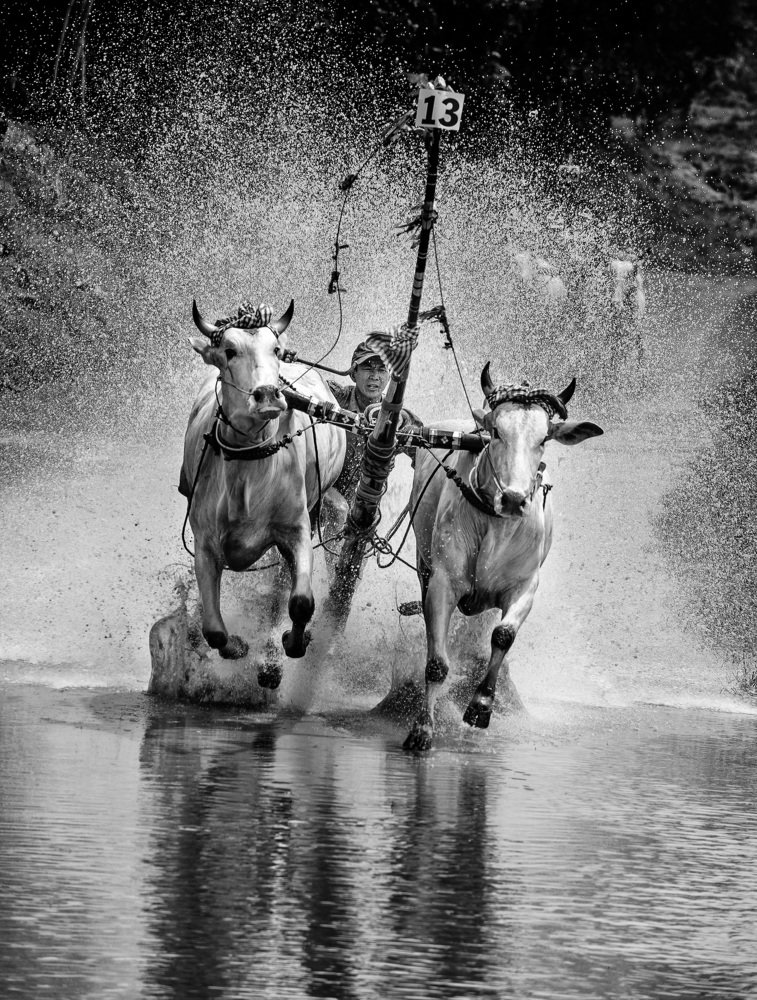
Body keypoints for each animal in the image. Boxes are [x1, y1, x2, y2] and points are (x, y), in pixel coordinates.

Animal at [180, 298, 346, 687]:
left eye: (276, 351)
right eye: (229, 350)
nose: (269, 395)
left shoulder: (297, 529)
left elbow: (300, 602)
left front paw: (293, 642)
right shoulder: (205, 543)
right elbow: (213, 630)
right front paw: (237, 647)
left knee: (279, 593)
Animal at [403, 363, 603, 751]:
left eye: (544, 439)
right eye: (495, 432)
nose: (512, 498)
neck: (496, 525)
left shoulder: (525, 587)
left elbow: (503, 636)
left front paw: (480, 707)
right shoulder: (442, 583)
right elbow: (437, 662)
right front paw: (422, 728)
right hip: (423, 564)